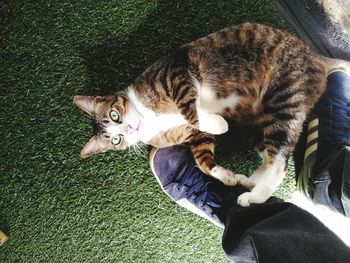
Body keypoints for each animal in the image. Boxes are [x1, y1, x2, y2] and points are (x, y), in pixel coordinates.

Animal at [72, 22, 330, 207]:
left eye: (114, 115)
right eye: (116, 140)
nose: (130, 129)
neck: (150, 121)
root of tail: (320, 59)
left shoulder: (174, 73)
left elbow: (188, 107)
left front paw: (219, 124)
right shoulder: (193, 135)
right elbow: (203, 160)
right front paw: (226, 175)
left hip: (284, 97)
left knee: (279, 163)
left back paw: (253, 198)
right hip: (263, 123)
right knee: (270, 155)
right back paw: (249, 182)